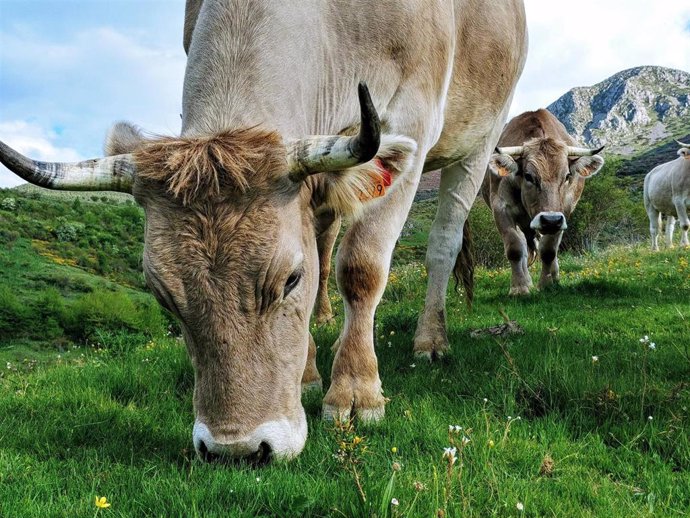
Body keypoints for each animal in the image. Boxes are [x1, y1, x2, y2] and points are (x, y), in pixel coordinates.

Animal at [1, 0, 528, 464]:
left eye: (290, 279)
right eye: (162, 295)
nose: (237, 449)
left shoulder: (414, 116)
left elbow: (362, 267)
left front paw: (356, 393)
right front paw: (310, 374)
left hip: (480, 139)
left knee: (443, 242)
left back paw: (430, 340)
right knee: (325, 235)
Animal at [478, 109, 600, 296]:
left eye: (567, 176)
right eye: (529, 176)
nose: (550, 220)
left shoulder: (562, 213)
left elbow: (549, 250)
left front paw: (547, 284)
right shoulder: (501, 208)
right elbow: (515, 249)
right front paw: (520, 288)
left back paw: (554, 277)